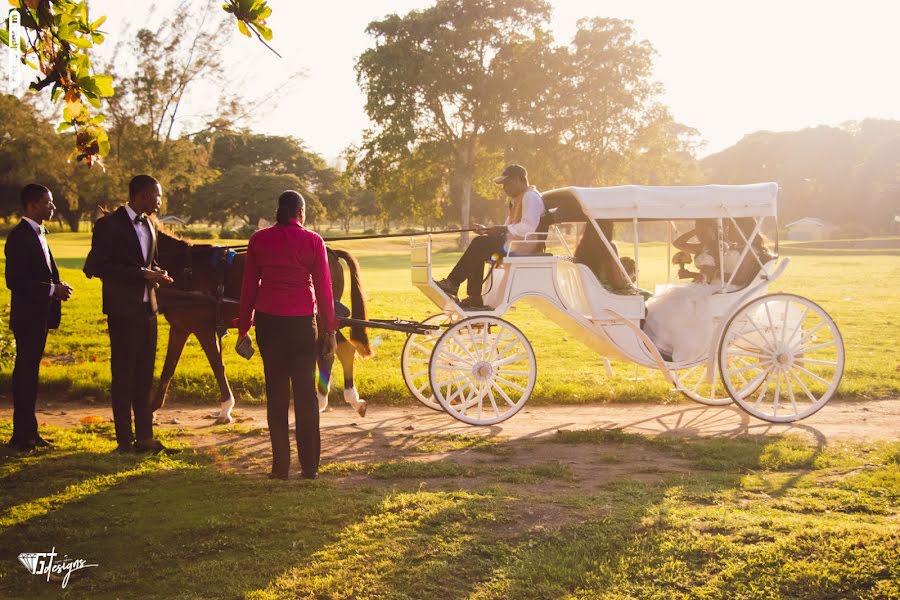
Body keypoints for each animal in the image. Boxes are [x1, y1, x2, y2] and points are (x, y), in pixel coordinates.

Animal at [153, 227, 370, 424]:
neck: (185, 267)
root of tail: (331, 252)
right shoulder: (180, 328)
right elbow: (169, 367)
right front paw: (153, 409)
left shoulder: (202, 328)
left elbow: (216, 365)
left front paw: (226, 408)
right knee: (337, 351)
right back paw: (334, 400)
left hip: (321, 317)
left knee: (336, 352)